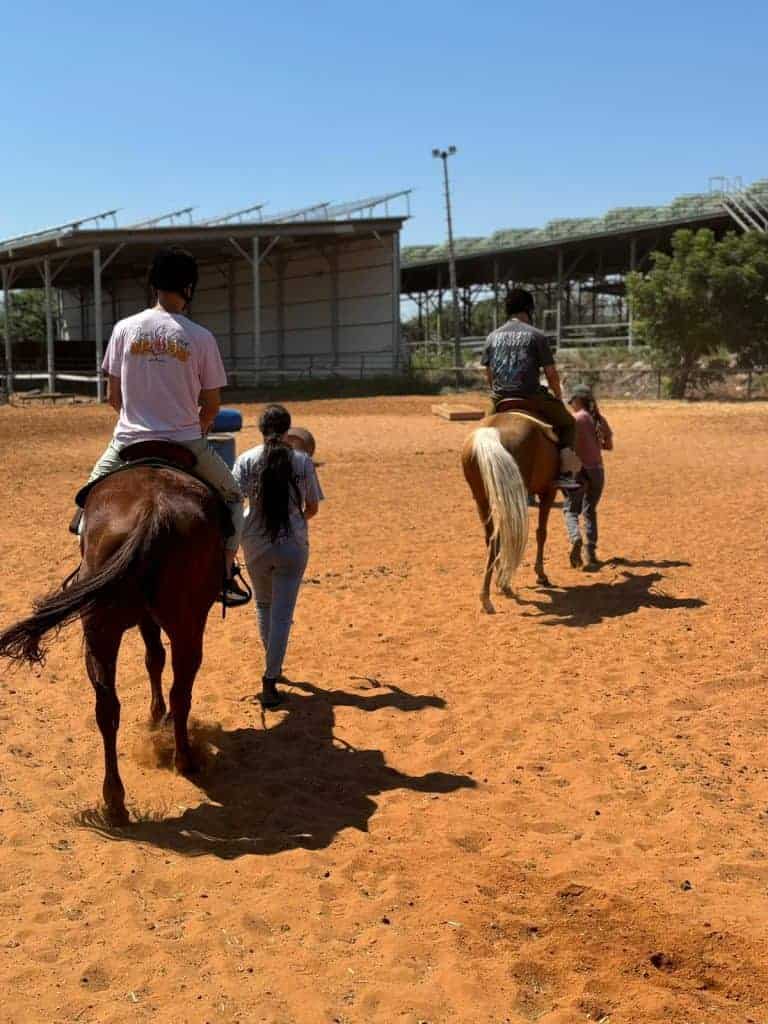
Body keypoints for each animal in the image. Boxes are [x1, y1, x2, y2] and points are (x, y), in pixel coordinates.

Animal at [0, 448, 225, 823]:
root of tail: (152, 511)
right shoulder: (154, 620)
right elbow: (155, 660)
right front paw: (156, 716)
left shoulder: (145, 619)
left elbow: (153, 659)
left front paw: (154, 716)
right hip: (188, 627)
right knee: (181, 691)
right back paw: (183, 759)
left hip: (100, 632)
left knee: (107, 708)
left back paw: (114, 800)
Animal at [462, 409, 561, 614]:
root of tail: (490, 432)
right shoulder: (549, 491)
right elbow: (541, 533)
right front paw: (541, 574)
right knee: (500, 538)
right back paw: (494, 592)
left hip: (483, 500)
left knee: (491, 539)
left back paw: (497, 587)